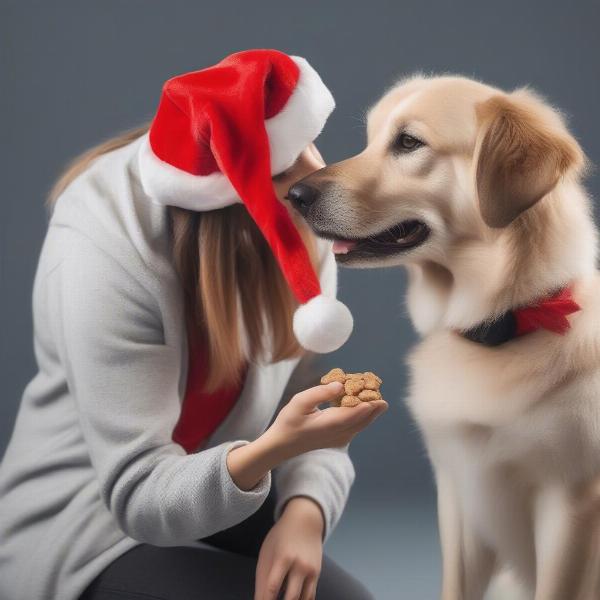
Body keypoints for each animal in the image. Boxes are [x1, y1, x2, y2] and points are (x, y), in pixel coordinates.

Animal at [284, 76, 600, 600]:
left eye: (409, 143)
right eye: (370, 140)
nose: (295, 193)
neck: (499, 322)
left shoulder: (570, 502)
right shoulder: (458, 493)